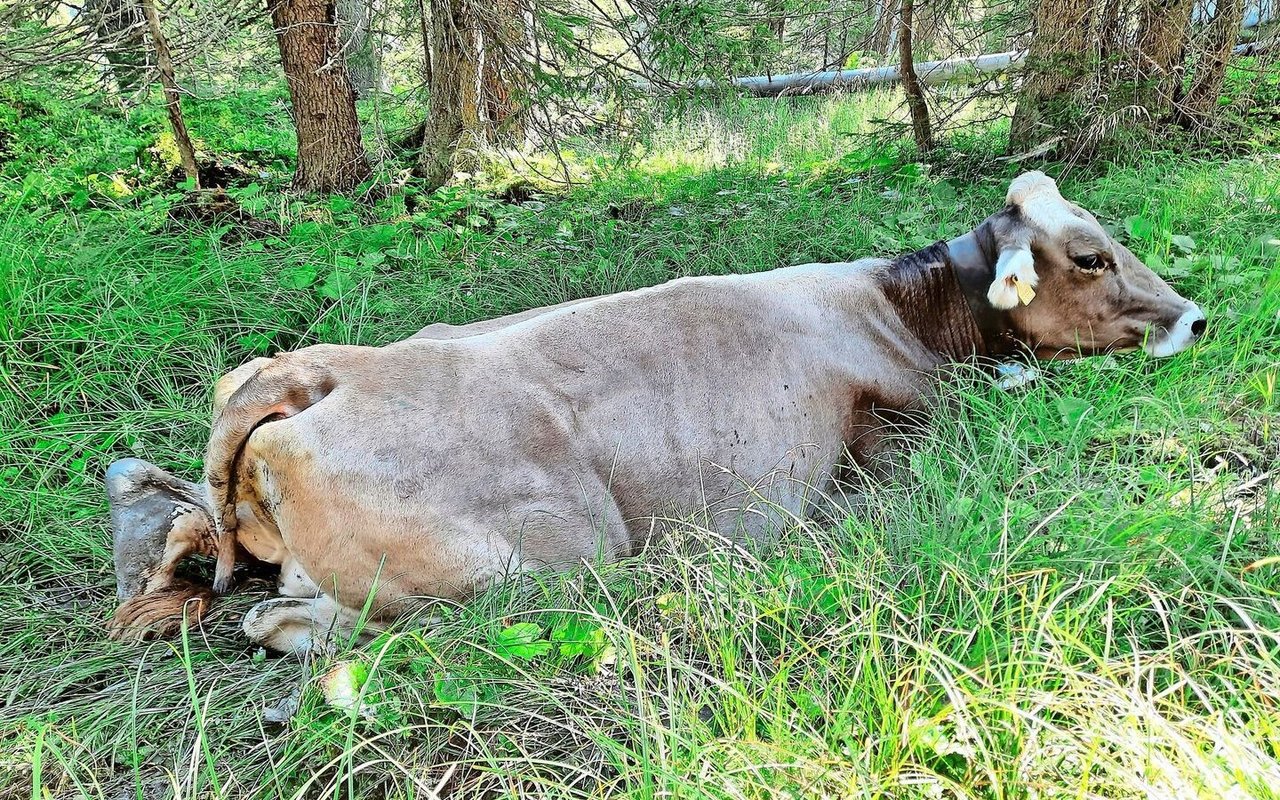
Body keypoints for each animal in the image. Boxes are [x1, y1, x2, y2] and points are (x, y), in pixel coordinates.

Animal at [104, 171, 1203, 652]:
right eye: (1091, 255)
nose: (1192, 316)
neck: (891, 309)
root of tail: (316, 372)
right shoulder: (893, 431)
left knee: (203, 536)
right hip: (556, 561)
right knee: (295, 620)